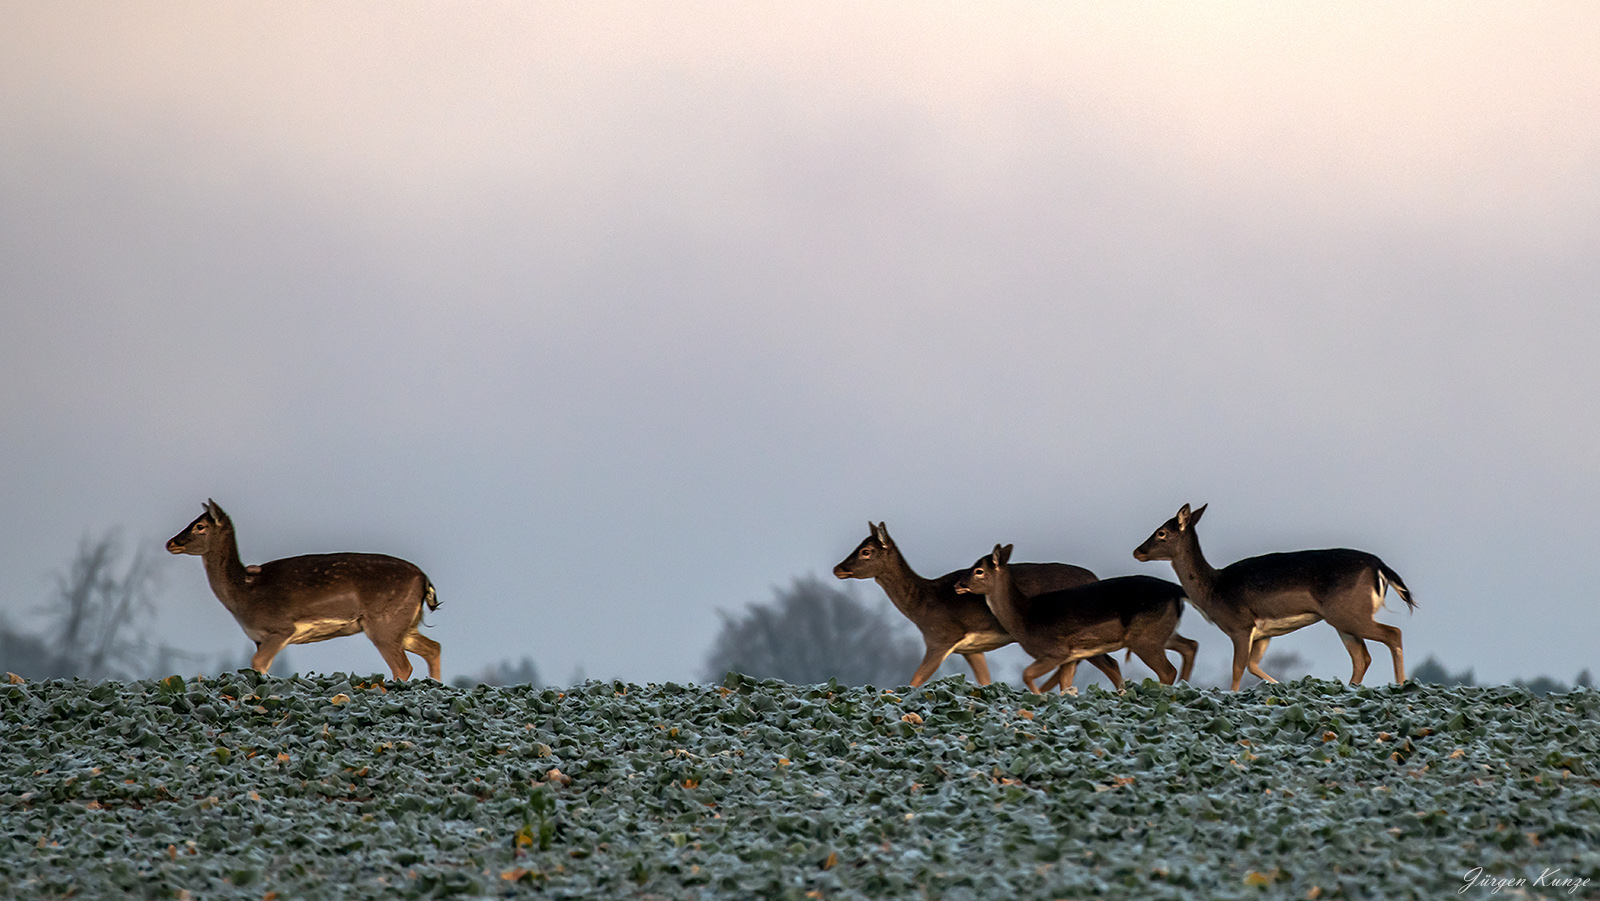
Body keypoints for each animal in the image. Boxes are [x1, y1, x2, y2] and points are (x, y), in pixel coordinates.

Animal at [165, 496, 441, 681]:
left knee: (403, 666)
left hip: (384, 623)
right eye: (193, 521)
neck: (243, 593)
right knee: (433, 647)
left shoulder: (279, 628)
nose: (171, 543)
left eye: (200, 526)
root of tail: (424, 579)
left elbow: (258, 665)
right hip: (404, 625)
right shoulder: (258, 638)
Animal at [838, 521, 1126, 691]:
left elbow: (914, 682)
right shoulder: (971, 649)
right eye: (859, 546)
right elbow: (985, 683)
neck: (921, 603)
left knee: (1108, 665)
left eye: (866, 551)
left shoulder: (940, 637)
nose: (838, 568)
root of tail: (1094, 578)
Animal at [947, 544, 1190, 697]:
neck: (1024, 618)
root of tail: (1177, 591)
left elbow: (1026, 674)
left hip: (1145, 639)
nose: (958, 584)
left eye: (979, 570)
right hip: (1161, 634)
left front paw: (1040, 697)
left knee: (1167, 670)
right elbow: (1065, 687)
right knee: (1188, 647)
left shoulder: (1054, 651)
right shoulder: (1071, 657)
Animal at [1132, 499, 1420, 691]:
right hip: (1344, 620)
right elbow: (1253, 666)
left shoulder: (1240, 626)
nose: (1138, 551)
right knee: (1362, 658)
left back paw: (1402, 684)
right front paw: (1280, 686)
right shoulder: (1263, 634)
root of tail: (1380, 567)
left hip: (1350, 613)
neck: (1214, 591)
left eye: (1161, 532)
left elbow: (1237, 670)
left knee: (1393, 634)